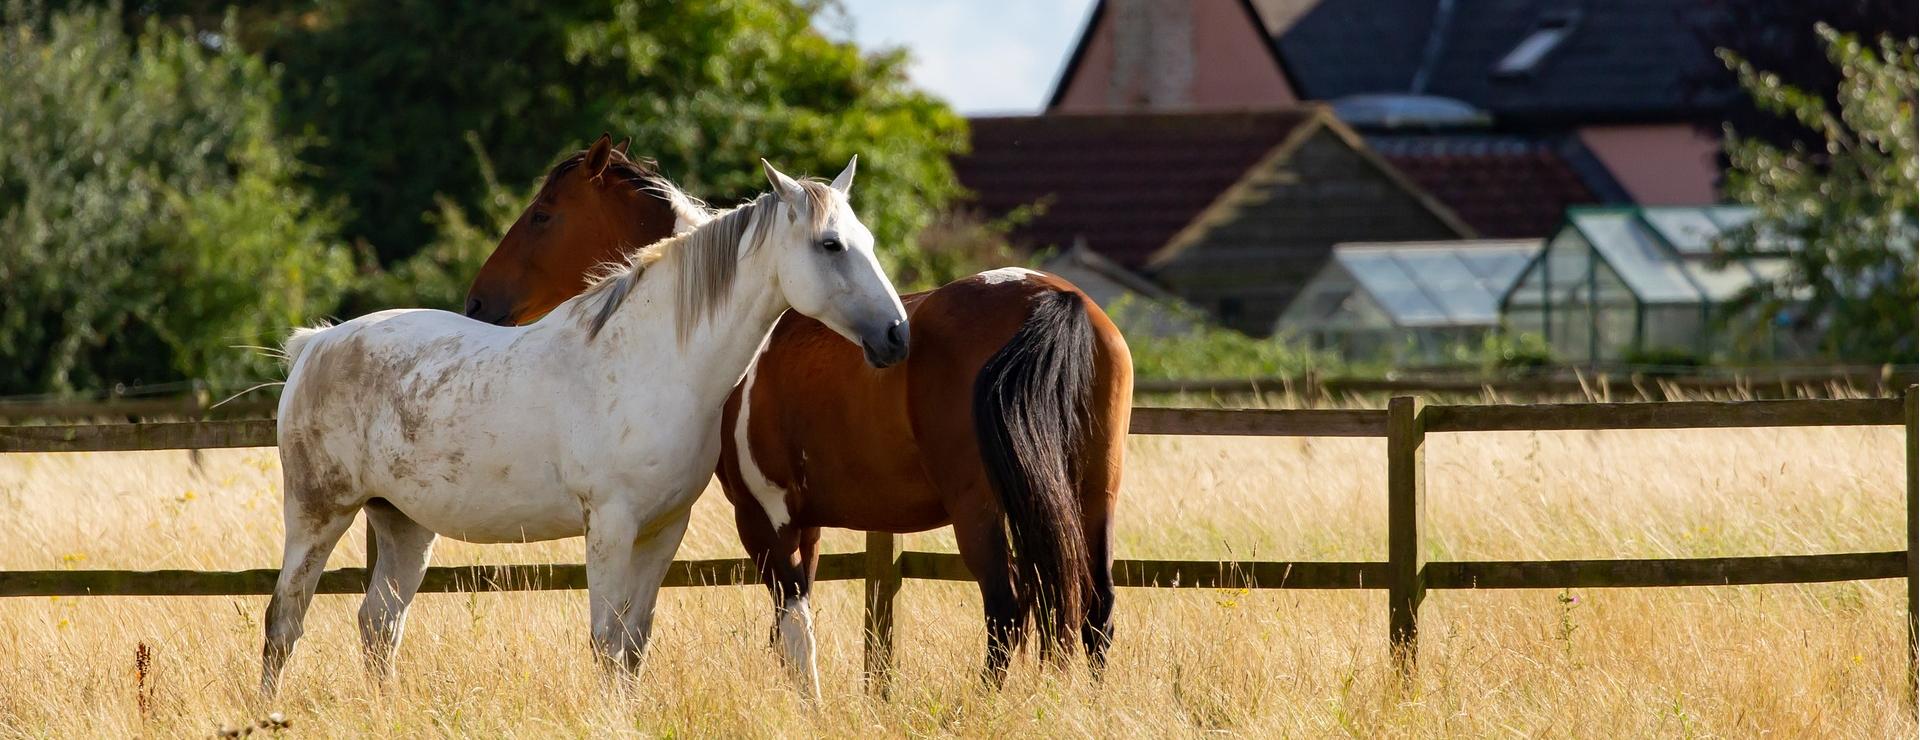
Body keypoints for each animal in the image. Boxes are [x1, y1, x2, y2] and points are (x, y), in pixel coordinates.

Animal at [263, 153, 907, 696]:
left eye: (870, 242)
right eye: (830, 244)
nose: (896, 335)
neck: (656, 361)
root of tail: (315, 345)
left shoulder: (663, 529)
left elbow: (634, 647)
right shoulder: (611, 525)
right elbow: (605, 643)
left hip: (404, 525)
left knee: (379, 624)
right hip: (318, 515)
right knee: (284, 621)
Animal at [465, 142, 1133, 696]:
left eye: (543, 214)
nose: (478, 301)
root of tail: (1054, 298)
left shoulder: (763, 518)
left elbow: (791, 627)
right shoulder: (805, 522)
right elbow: (791, 631)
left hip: (982, 508)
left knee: (1006, 609)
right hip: (1092, 494)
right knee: (1094, 608)